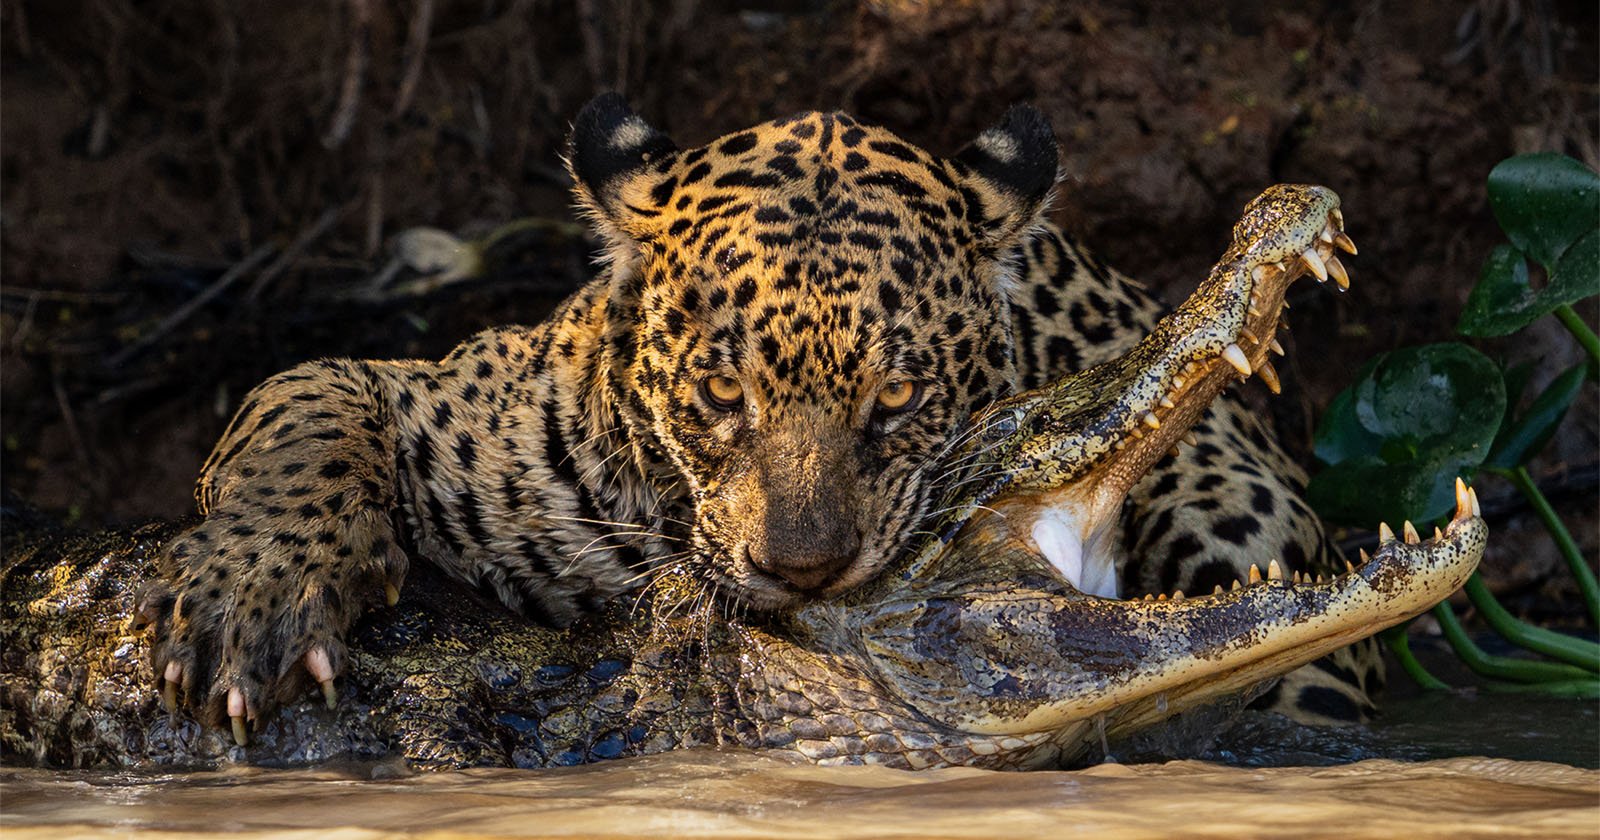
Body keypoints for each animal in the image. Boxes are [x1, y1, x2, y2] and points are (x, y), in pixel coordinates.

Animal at [137, 93, 1380, 743]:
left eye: (897, 398)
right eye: (721, 393)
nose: (804, 571)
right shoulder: (441, 398)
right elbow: (306, 413)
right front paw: (255, 599)